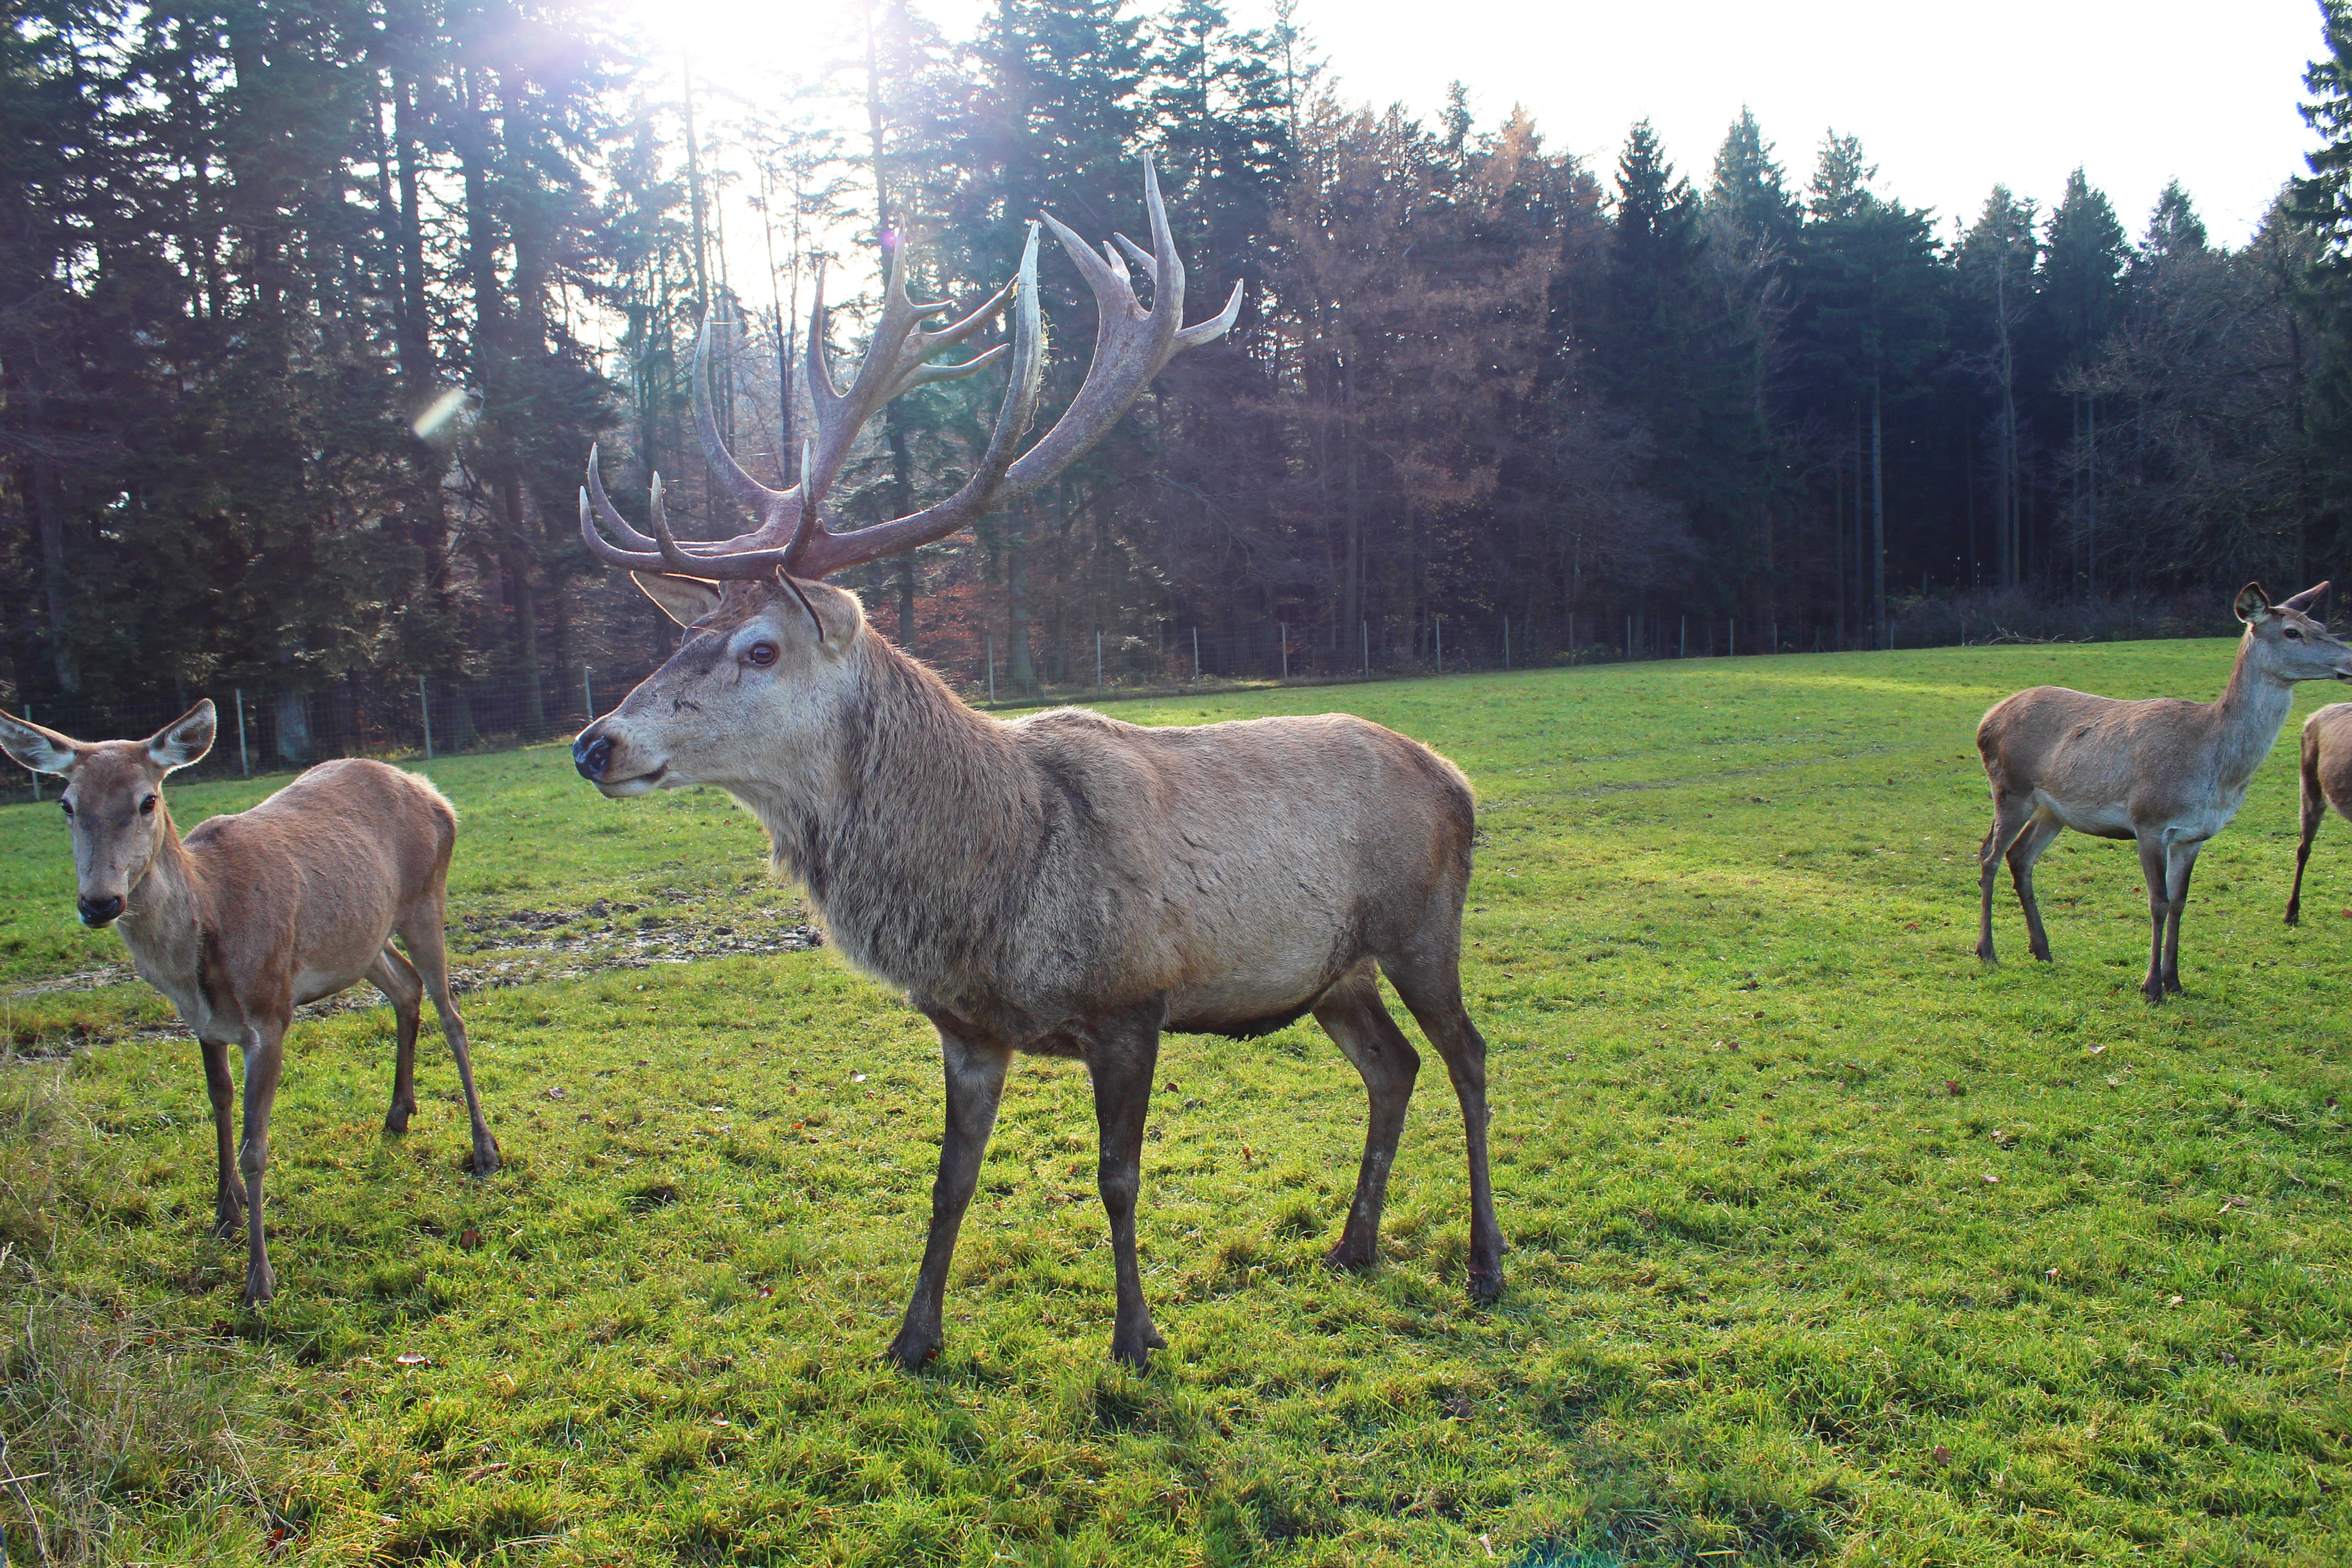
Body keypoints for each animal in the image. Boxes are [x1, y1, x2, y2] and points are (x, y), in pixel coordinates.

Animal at [0, 702, 500, 1305]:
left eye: (147, 800)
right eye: (67, 804)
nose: (100, 902)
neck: (204, 936)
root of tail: (434, 792)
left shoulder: (271, 1013)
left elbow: (254, 1146)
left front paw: (259, 1279)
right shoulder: (202, 1024)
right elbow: (219, 1104)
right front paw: (224, 1213)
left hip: (426, 898)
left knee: (453, 1015)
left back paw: (484, 1148)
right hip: (360, 940)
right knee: (405, 988)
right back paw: (398, 1114)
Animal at [570, 160, 1503, 1370]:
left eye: (760, 647)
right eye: (681, 634)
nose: (597, 740)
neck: (994, 890)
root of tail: (1457, 779)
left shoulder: (1132, 999)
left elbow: (1118, 1179)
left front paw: (1136, 1335)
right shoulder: (967, 1031)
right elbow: (948, 1184)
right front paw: (912, 1336)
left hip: (1421, 920)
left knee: (1469, 1056)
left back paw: (1485, 1259)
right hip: (1328, 971)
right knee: (1392, 1068)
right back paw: (1352, 1243)